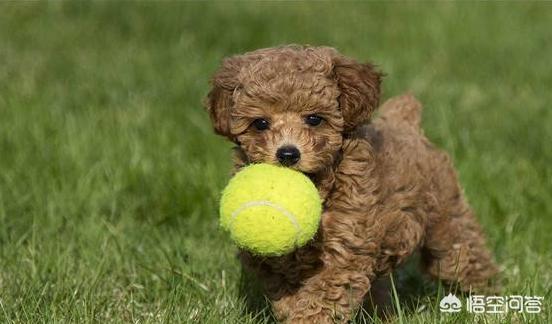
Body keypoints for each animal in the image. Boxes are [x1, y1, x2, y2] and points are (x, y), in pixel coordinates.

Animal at [205, 45, 498, 322]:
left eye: (314, 119)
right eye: (260, 123)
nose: (288, 154)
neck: (320, 183)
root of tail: (406, 122)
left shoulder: (345, 247)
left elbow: (322, 295)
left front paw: (308, 319)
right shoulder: (269, 262)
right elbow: (285, 292)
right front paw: (292, 311)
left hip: (447, 224)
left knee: (464, 258)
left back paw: (488, 303)